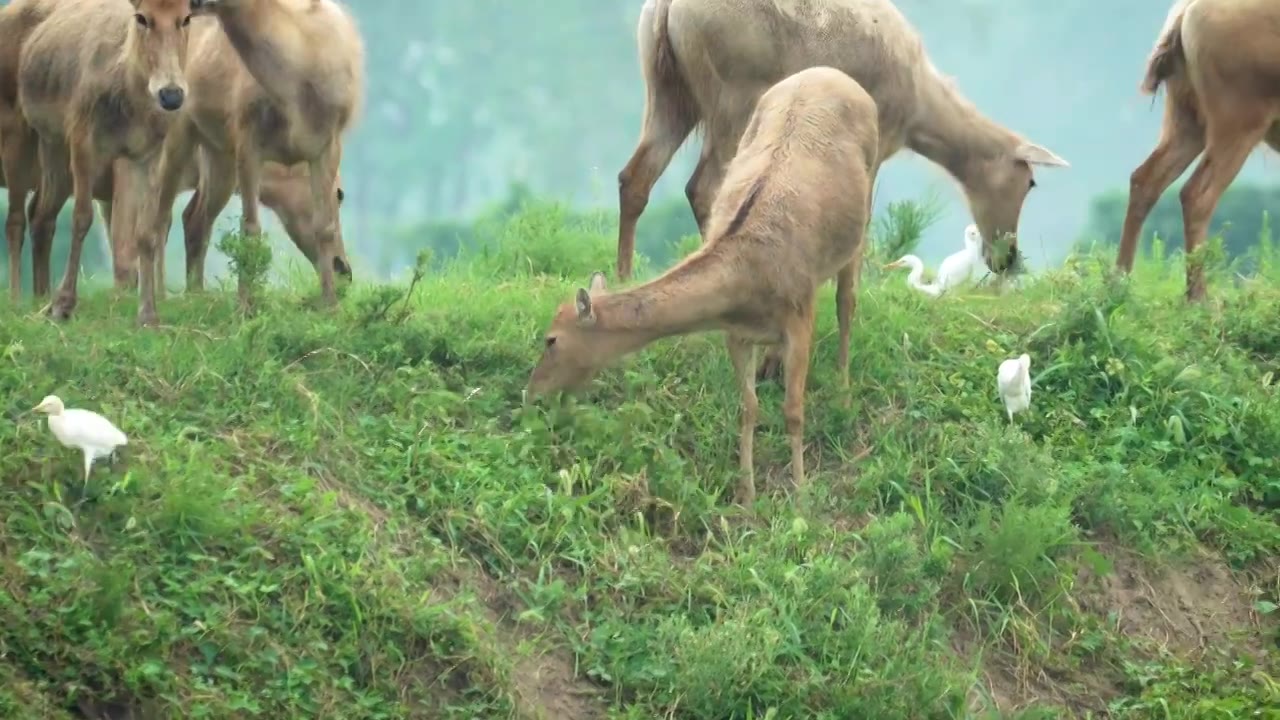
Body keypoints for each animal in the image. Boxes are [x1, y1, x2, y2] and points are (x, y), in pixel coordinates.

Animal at [524, 65, 875, 504]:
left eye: (551, 339)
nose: (531, 393)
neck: (748, 279)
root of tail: (833, 73)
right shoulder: (736, 333)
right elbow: (748, 407)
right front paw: (746, 495)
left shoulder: (800, 313)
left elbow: (794, 410)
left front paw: (801, 494)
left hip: (868, 197)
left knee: (848, 301)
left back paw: (844, 388)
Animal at [614, 0, 1064, 283]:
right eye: (1030, 182)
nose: (1008, 259)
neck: (920, 112)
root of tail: (667, 10)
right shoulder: (877, 138)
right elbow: (861, 216)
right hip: (731, 94)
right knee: (705, 187)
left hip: (668, 87)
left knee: (635, 176)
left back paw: (622, 275)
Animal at [1111, 0, 1280, 299]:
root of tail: (1185, 12)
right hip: (1240, 120)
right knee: (1197, 194)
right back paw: (1199, 297)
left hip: (1187, 119)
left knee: (1146, 179)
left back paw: (1119, 283)